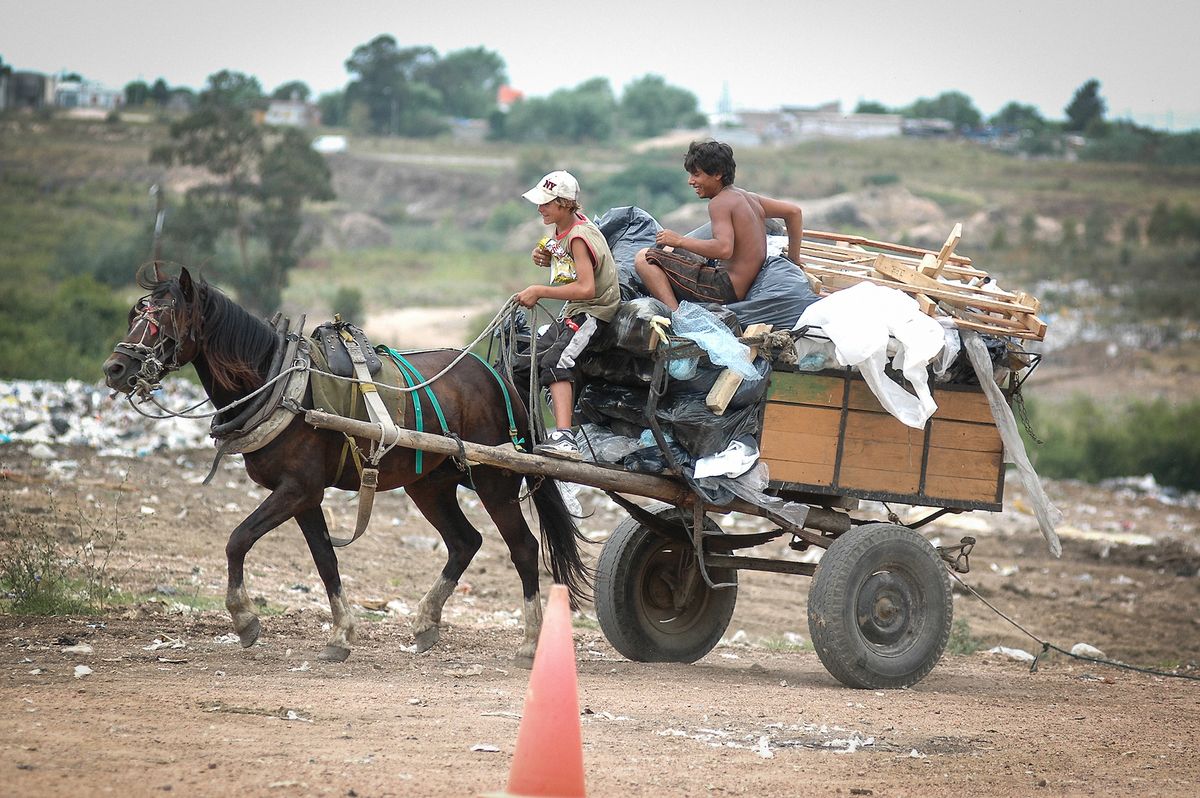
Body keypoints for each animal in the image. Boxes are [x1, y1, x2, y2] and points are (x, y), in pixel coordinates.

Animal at [102, 264, 590, 662]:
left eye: (164, 320)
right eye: (134, 316)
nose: (114, 369)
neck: (279, 383)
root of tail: (497, 376)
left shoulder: (298, 489)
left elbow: (237, 540)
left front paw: (244, 619)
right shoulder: (304, 497)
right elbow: (324, 560)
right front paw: (340, 635)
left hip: (494, 480)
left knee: (523, 547)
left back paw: (529, 644)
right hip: (429, 484)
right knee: (464, 542)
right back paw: (425, 623)